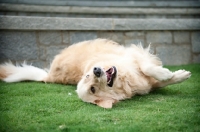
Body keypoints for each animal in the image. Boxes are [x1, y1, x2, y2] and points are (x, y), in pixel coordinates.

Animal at [0, 39, 191, 108]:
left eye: (87, 76)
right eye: (93, 89)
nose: (96, 70)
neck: (124, 80)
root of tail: (49, 76)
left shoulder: (132, 56)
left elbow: (148, 68)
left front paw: (174, 74)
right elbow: (153, 72)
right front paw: (171, 75)